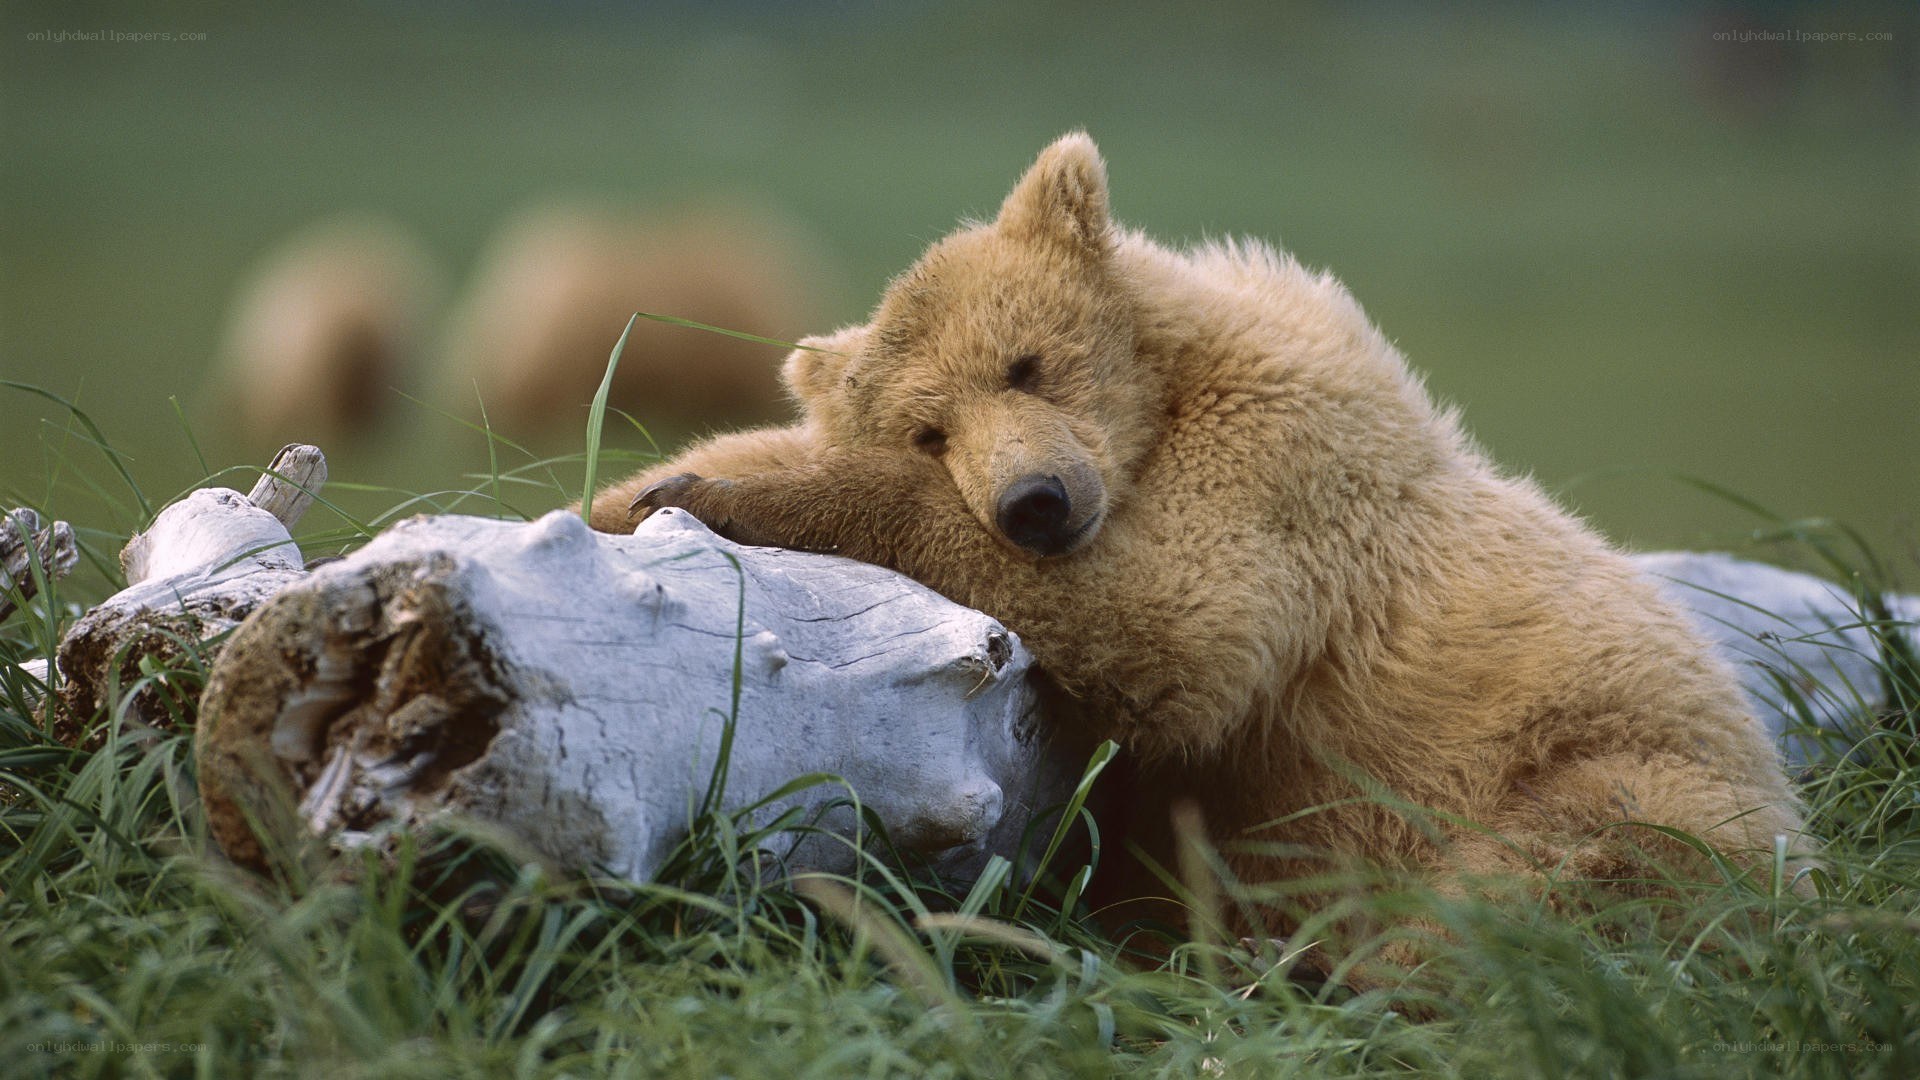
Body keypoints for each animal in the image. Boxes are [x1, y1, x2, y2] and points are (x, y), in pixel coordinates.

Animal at [593, 133, 1808, 947]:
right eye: (930, 428)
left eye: (1026, 364)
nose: (1034, 502)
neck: (1169, 394)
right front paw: (645, 487)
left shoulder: (1283, 468)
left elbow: (1175, 620)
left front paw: (725, 494)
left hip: (1614, 766)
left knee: (1561, 875)